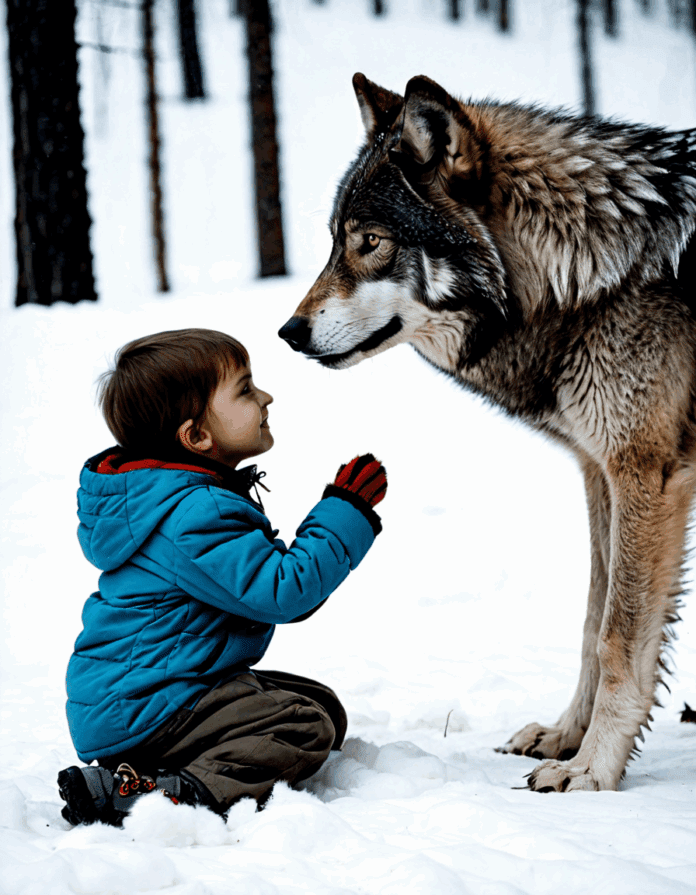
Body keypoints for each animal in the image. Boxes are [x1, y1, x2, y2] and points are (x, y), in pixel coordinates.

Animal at [278, 73, 696, 792]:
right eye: (335, 239)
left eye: (370, 242)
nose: (289, 332)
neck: (597, 272)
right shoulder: (601, 472)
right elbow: (591, 621)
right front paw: (566, 737)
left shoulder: (646, 473)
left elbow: (617, 635)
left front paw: (593, 769)